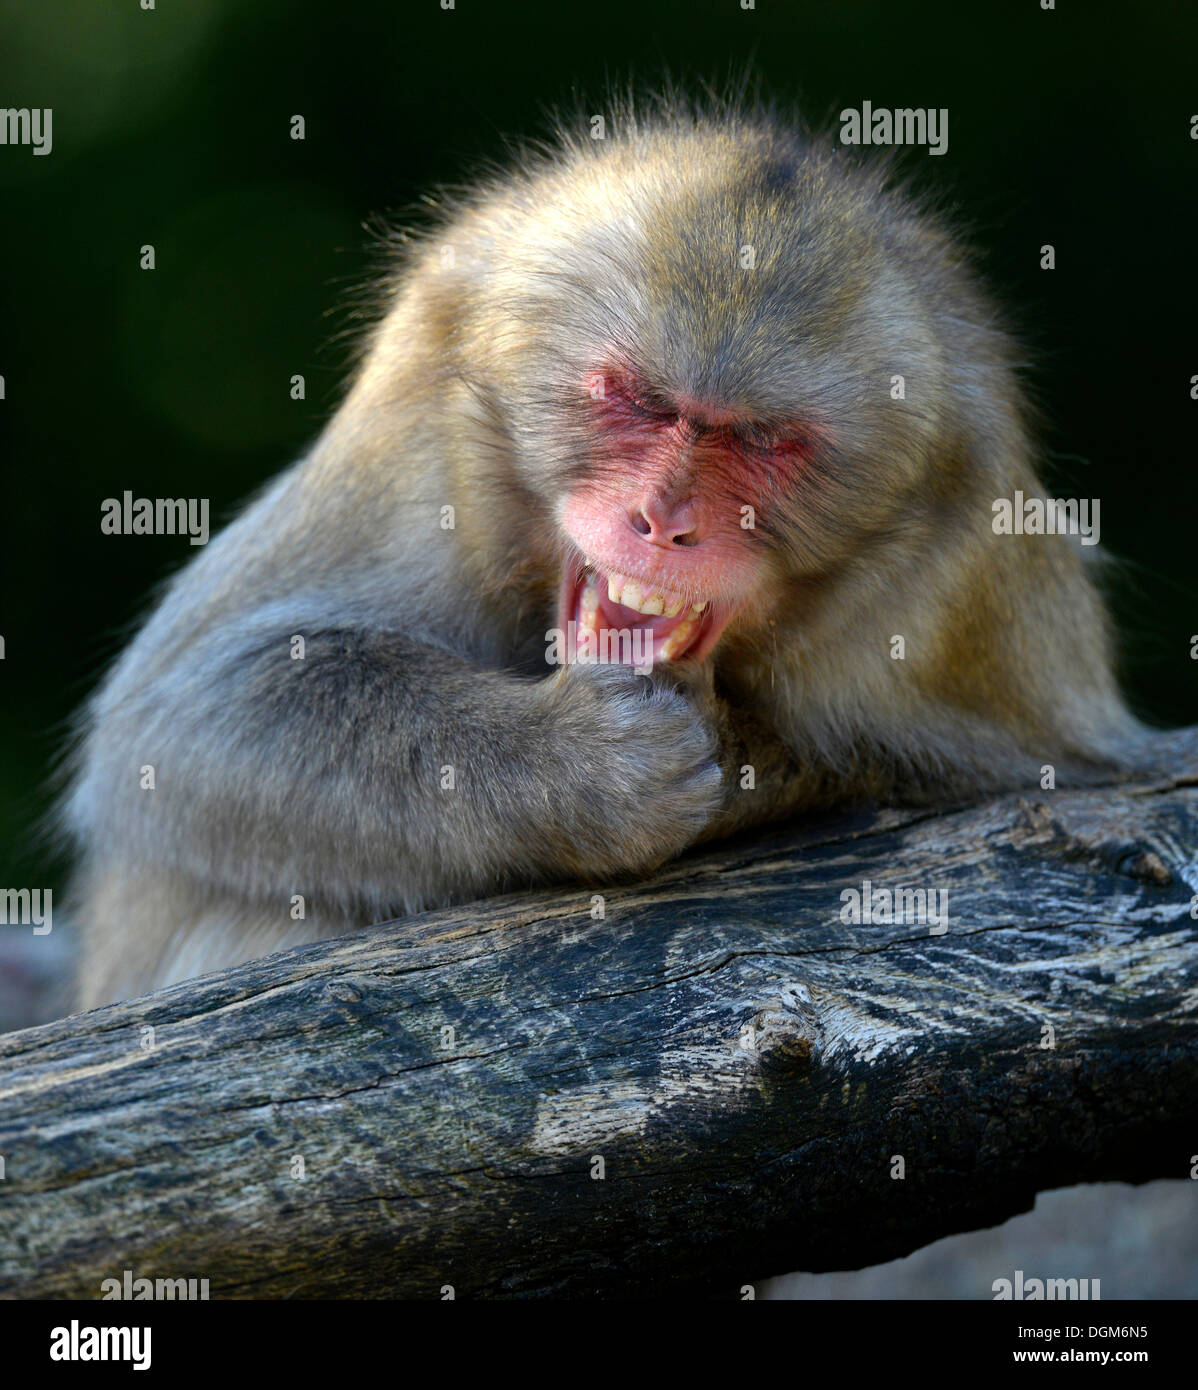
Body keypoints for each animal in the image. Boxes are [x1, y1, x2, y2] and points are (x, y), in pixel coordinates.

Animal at [58, 95, 1145, 1011]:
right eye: (638, 401)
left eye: (763, 441)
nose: (662, 521)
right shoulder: (418, 452)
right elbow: (183, 721)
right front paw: (577, 769)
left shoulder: (960, 599)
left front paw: (748, 757)